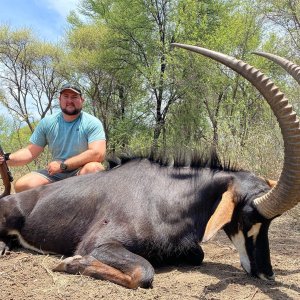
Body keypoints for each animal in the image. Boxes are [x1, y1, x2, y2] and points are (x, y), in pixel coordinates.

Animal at [0, 45, 298, 288]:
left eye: (269, 223)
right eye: (247, 218)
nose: (267, 273)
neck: (165, 198)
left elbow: (197, 255)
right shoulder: (99, 243)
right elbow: (144, 271)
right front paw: (70, 262)